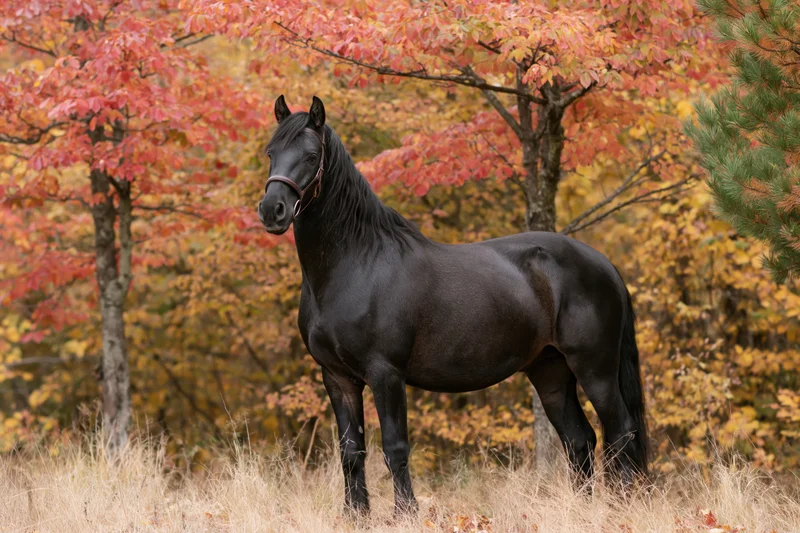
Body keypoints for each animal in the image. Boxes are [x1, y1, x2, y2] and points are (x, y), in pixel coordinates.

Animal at [257, 95, 649, 516]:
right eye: (271, 153)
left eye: (311, 156)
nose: (272, 210)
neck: (357, 263)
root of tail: (604, 264)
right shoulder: (337, 378)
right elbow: (351, 451)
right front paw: (355, 516)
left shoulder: (385, 373)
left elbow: (395, 447)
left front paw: (406, 514)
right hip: (550, 370)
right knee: (580, 440)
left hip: (595, 369)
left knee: (621, 432)